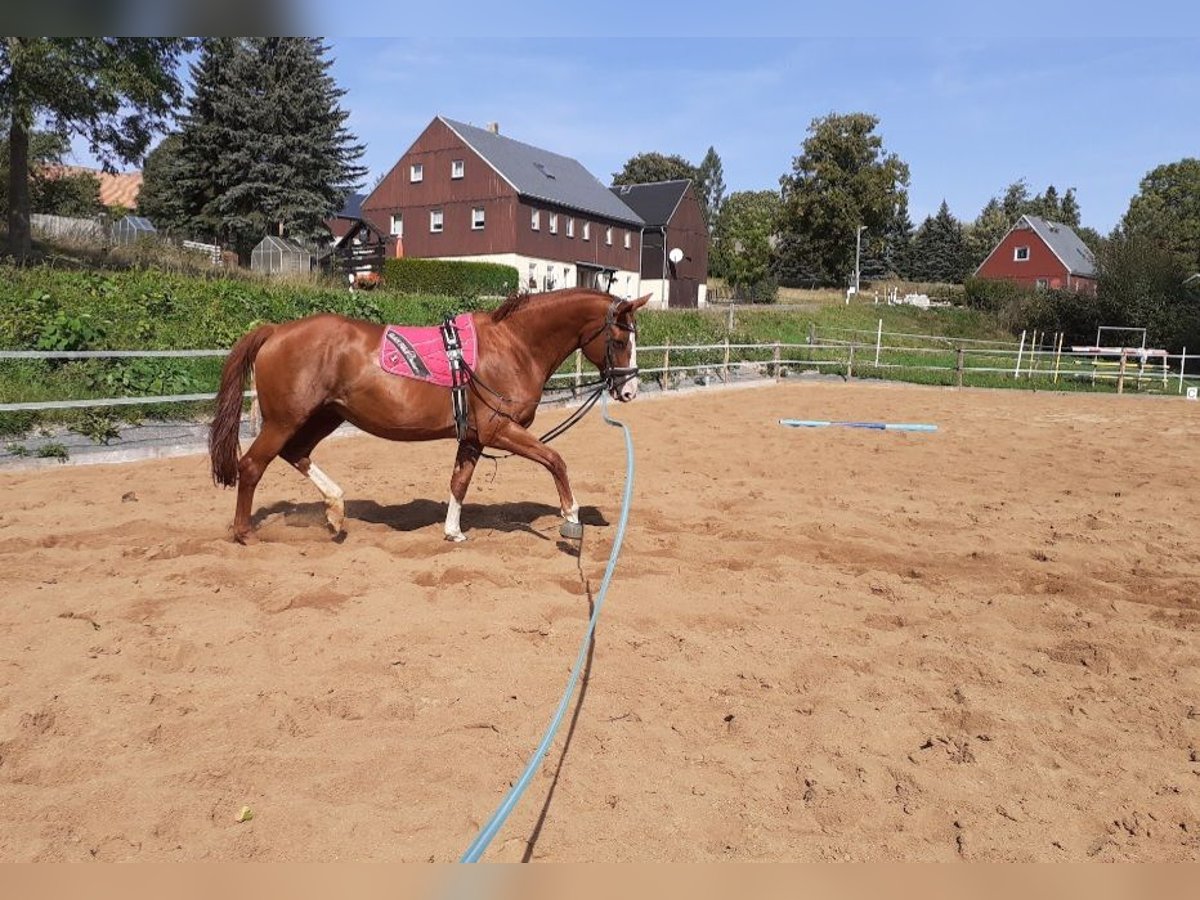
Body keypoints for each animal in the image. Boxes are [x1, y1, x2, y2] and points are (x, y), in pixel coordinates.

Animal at [208, 288, 650, 545]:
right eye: (620, 339)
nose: (629, 389)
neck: (513, 345)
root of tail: (275, 330)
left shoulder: (473, 437)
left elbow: (459, 482)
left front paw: (453, 532)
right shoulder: (498, 430)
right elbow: (555, 460)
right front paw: (571, 517)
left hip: (323, 416)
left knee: (295, 453)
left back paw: (335, 511)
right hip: (286, 420)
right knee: (252, 466)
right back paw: (246, 533)